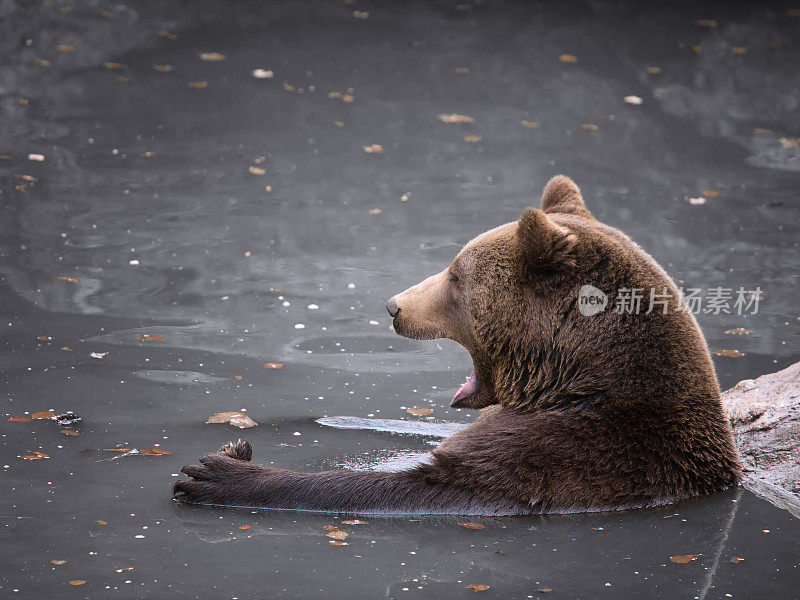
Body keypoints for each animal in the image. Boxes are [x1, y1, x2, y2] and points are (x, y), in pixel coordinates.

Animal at [175, 176, 744, 512]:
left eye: (454, 275)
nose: (394, 306)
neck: (568, 380)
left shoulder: (563, 455)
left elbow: (418, 485)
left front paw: (218, 472)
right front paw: (241, 437)